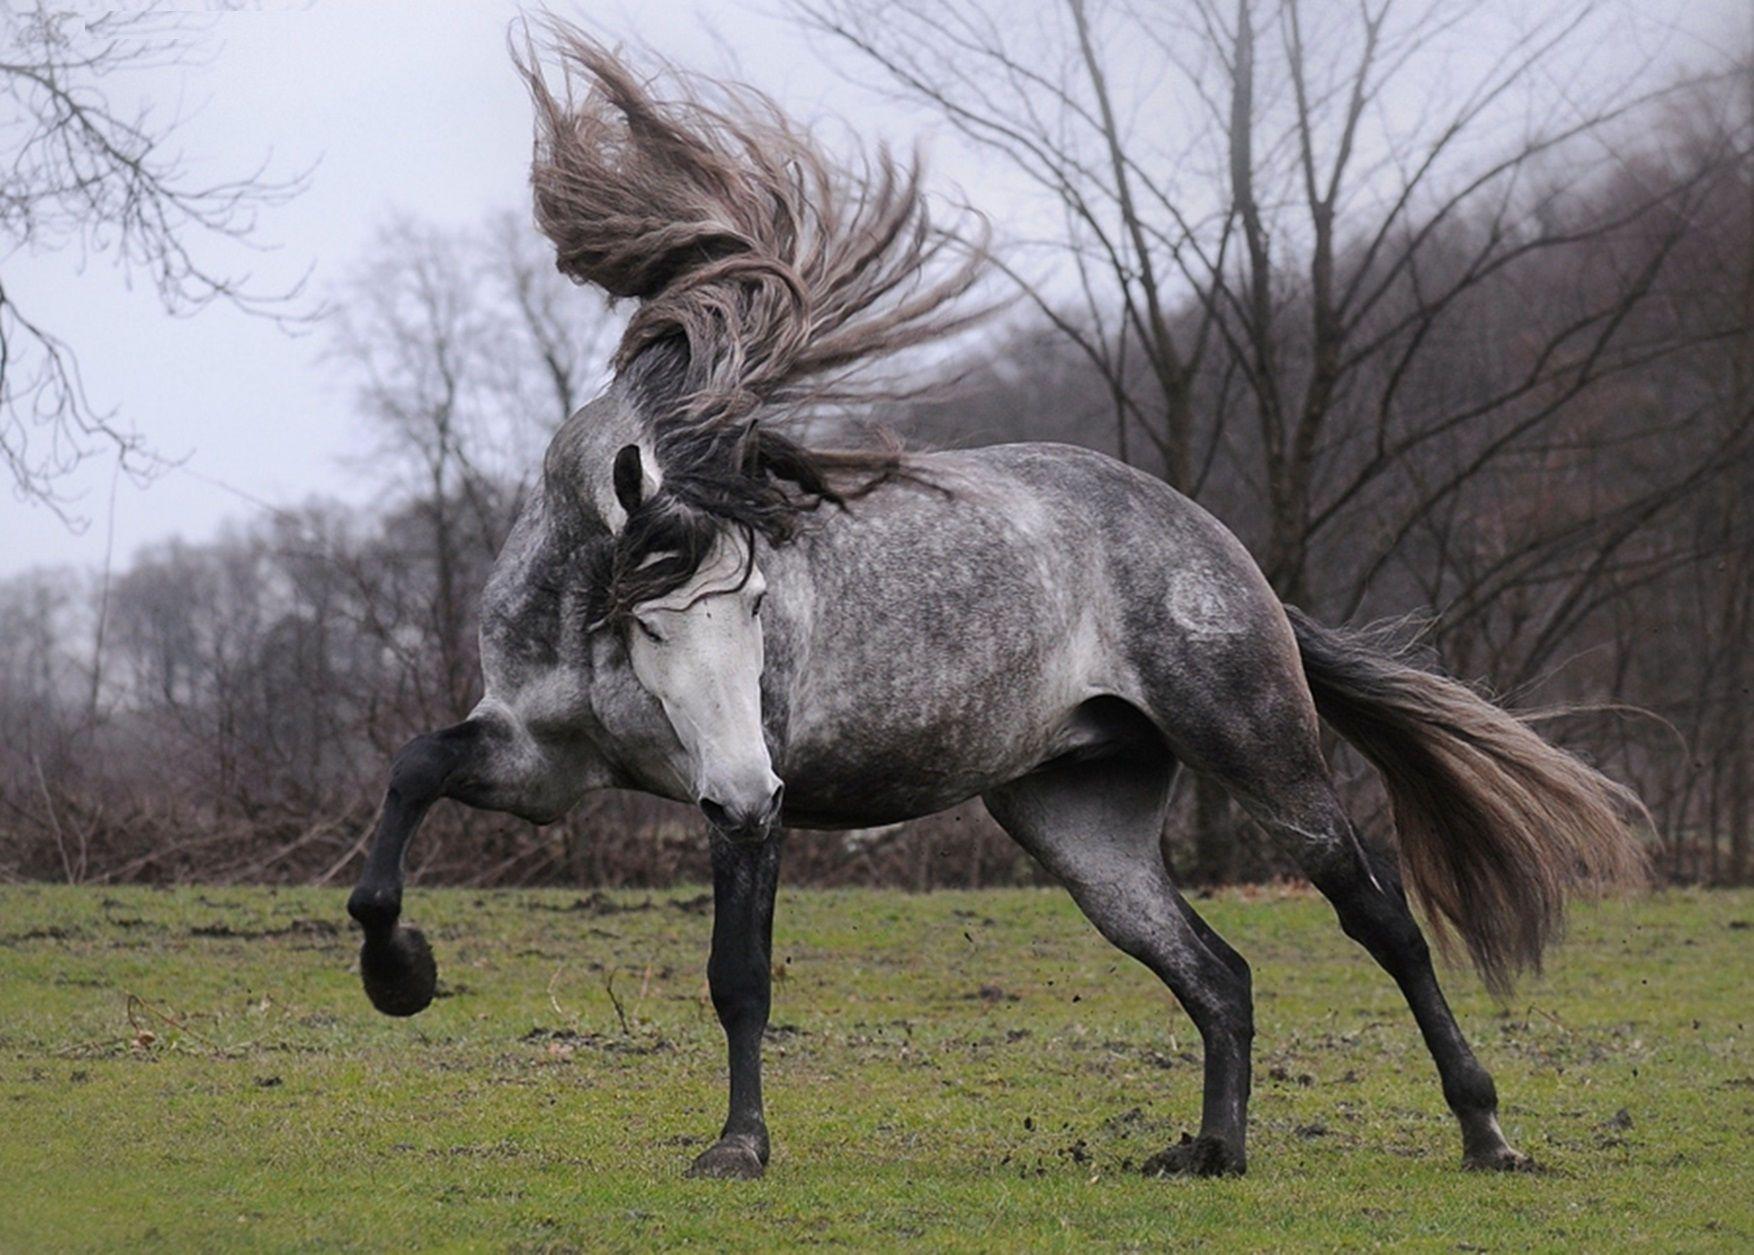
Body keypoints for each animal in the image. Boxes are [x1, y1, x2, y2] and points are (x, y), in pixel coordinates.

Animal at [343, 27, 1645, 1181]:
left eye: (760, 609)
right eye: (651, 621)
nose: (747, 784)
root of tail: (1216, 546)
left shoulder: (738, 813)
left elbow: (739, 977)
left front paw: (737, 1146)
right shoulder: (541, 767)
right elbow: (411, 774)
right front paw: (398, 969)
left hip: (1265, 759)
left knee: (1382, 922)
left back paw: (1483, 1131)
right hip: (1078, 822)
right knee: (1215, 971)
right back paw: (1211, 1152)